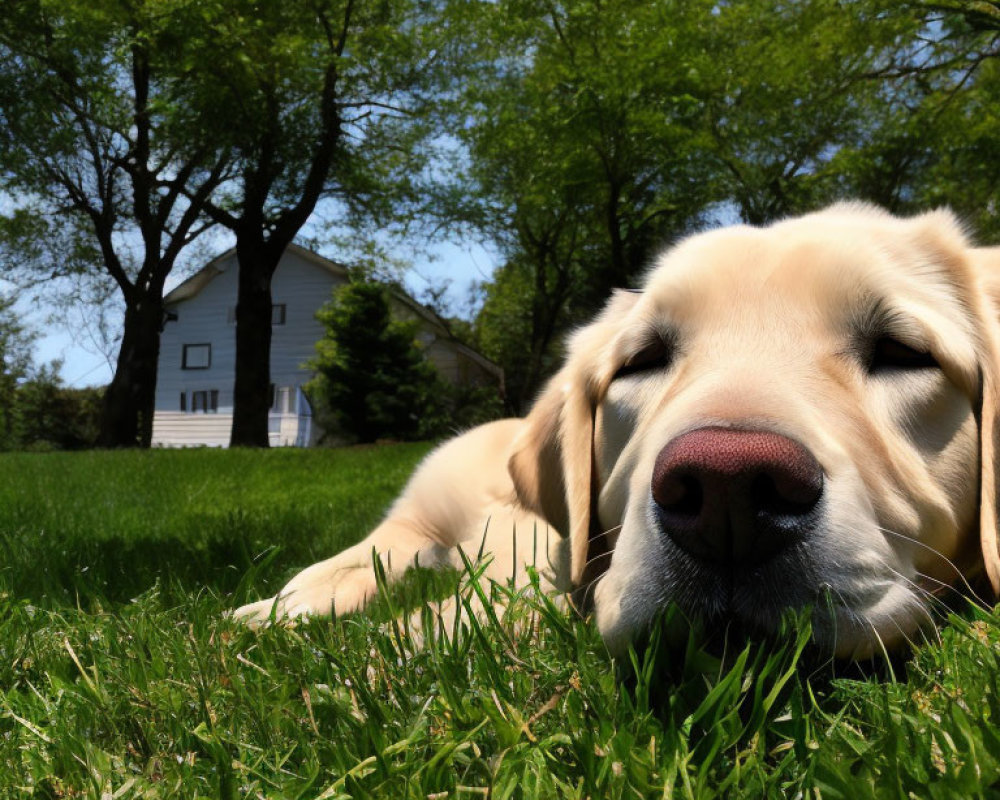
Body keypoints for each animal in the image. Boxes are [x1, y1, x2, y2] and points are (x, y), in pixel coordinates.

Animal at [234, 203, 1000, 660]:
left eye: (902, 352)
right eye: (643, 359)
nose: (727, 489)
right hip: (414, 518)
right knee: (356, 561)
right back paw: (276, 607)